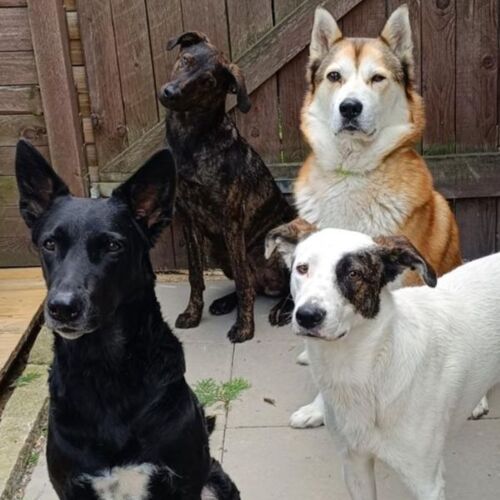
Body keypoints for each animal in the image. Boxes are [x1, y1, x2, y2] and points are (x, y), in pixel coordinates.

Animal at [15, 139, 240, 500]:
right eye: (49, 243)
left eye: (112, 245)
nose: (62, 307)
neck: (105, 368)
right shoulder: (71, 486)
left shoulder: (184, 481)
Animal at [158, 31, 296, 343]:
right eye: (186, 60)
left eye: (208, 82)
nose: (170, 92)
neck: (191, 141)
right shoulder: (188, 219)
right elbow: (195, 275)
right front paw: (193, 314)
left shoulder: (231, 220)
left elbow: (244, 283)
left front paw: (244, 327)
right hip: (217, 251)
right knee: (252, 283)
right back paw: (224, 302)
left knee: (285, 287)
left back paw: (283, 309)